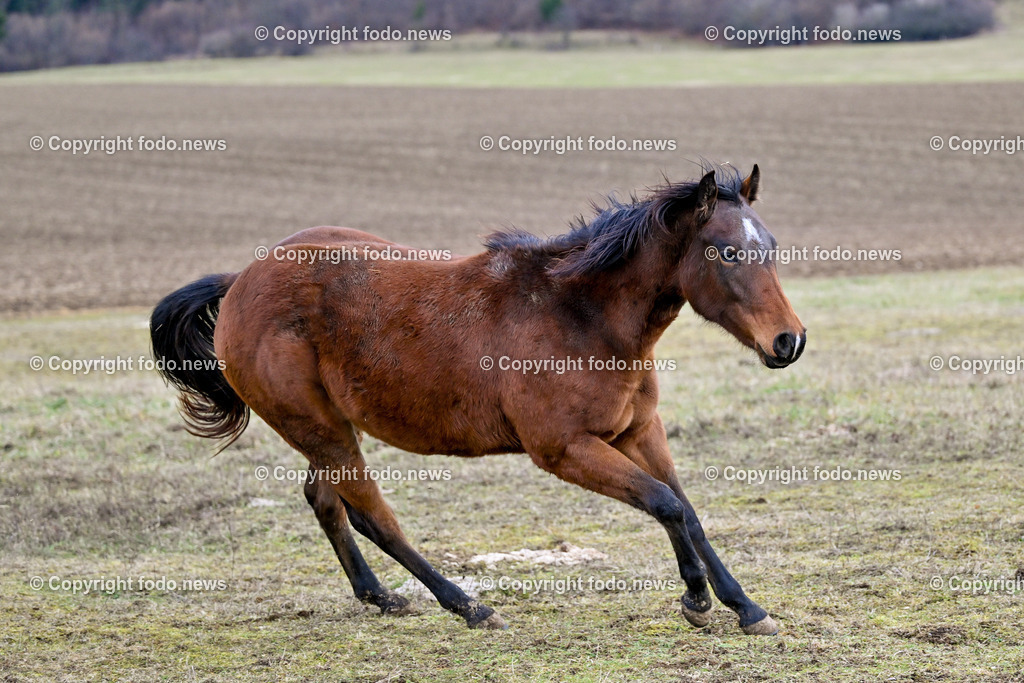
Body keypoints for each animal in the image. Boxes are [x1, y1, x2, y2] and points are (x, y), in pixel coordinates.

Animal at [151, 163, 805, 635]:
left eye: (771, 245)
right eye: (727, 252)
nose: (789, 341)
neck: (581, 316)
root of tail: (240, 282)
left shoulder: (638, 432)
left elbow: (686, 509)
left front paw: (745, 607)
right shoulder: (566, 450)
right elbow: (665, 505)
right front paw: (696, 599)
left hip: (329, 429)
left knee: (326, 500)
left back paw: (381, 596)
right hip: (321, 430)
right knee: (372, 515)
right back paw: (467, 605)